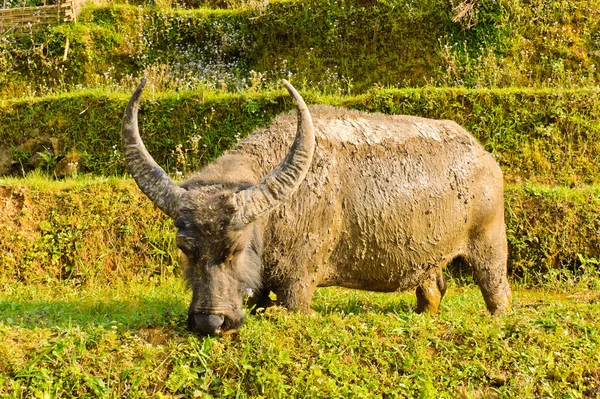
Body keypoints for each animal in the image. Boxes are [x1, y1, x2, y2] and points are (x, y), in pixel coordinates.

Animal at [120, 79, 510, 336]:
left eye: (236, 248)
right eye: (185, 249)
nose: (209, 322)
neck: (280, 211)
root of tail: (483, 156)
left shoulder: (299, 282)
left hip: (489, 244)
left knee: (497, 290)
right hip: (429, 260)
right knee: (432, 290)